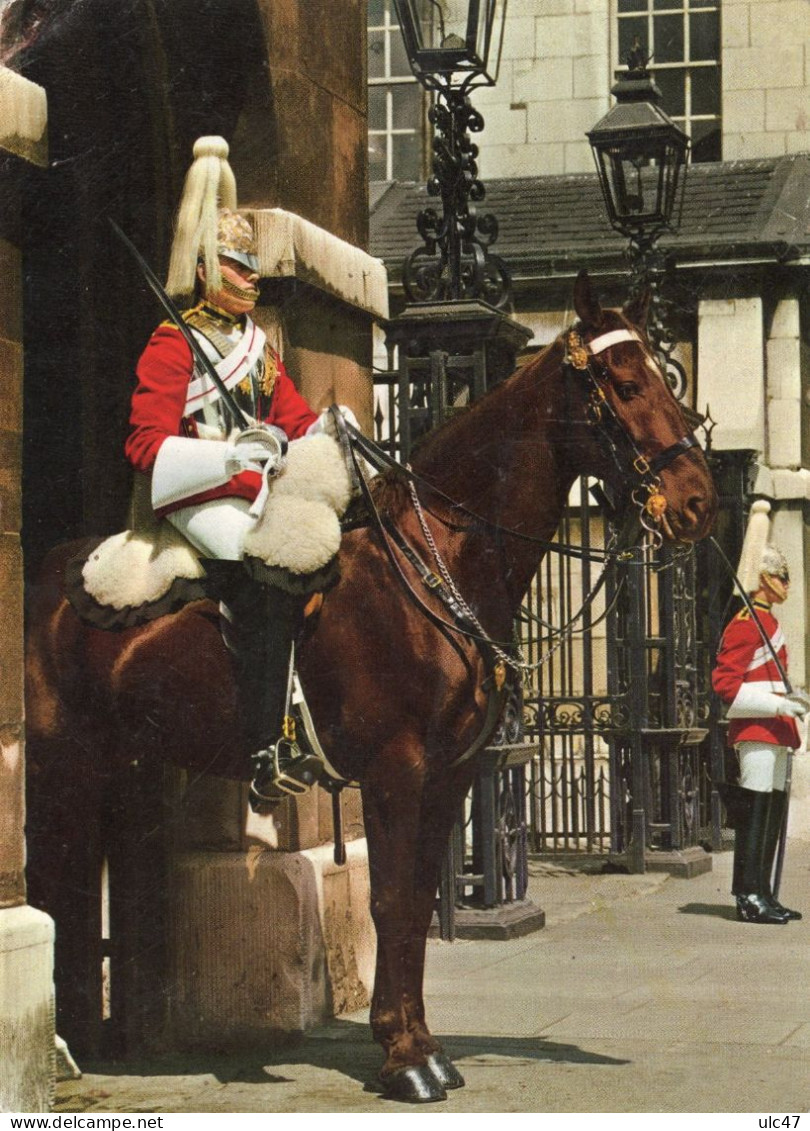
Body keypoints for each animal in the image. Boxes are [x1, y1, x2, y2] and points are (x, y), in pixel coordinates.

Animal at [25, 275, 719, 1103]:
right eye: (623, 383)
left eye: (668, 381)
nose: (697, 502)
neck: (435, 558)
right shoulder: (397, 768)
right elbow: (389, 899)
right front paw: (404, 1056)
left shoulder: (450, 774)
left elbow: (416, 902)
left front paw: (423, 1044)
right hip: (63, 760)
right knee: (55, 876)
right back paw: (63, 1043)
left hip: (126, 767)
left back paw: (113, 1035)